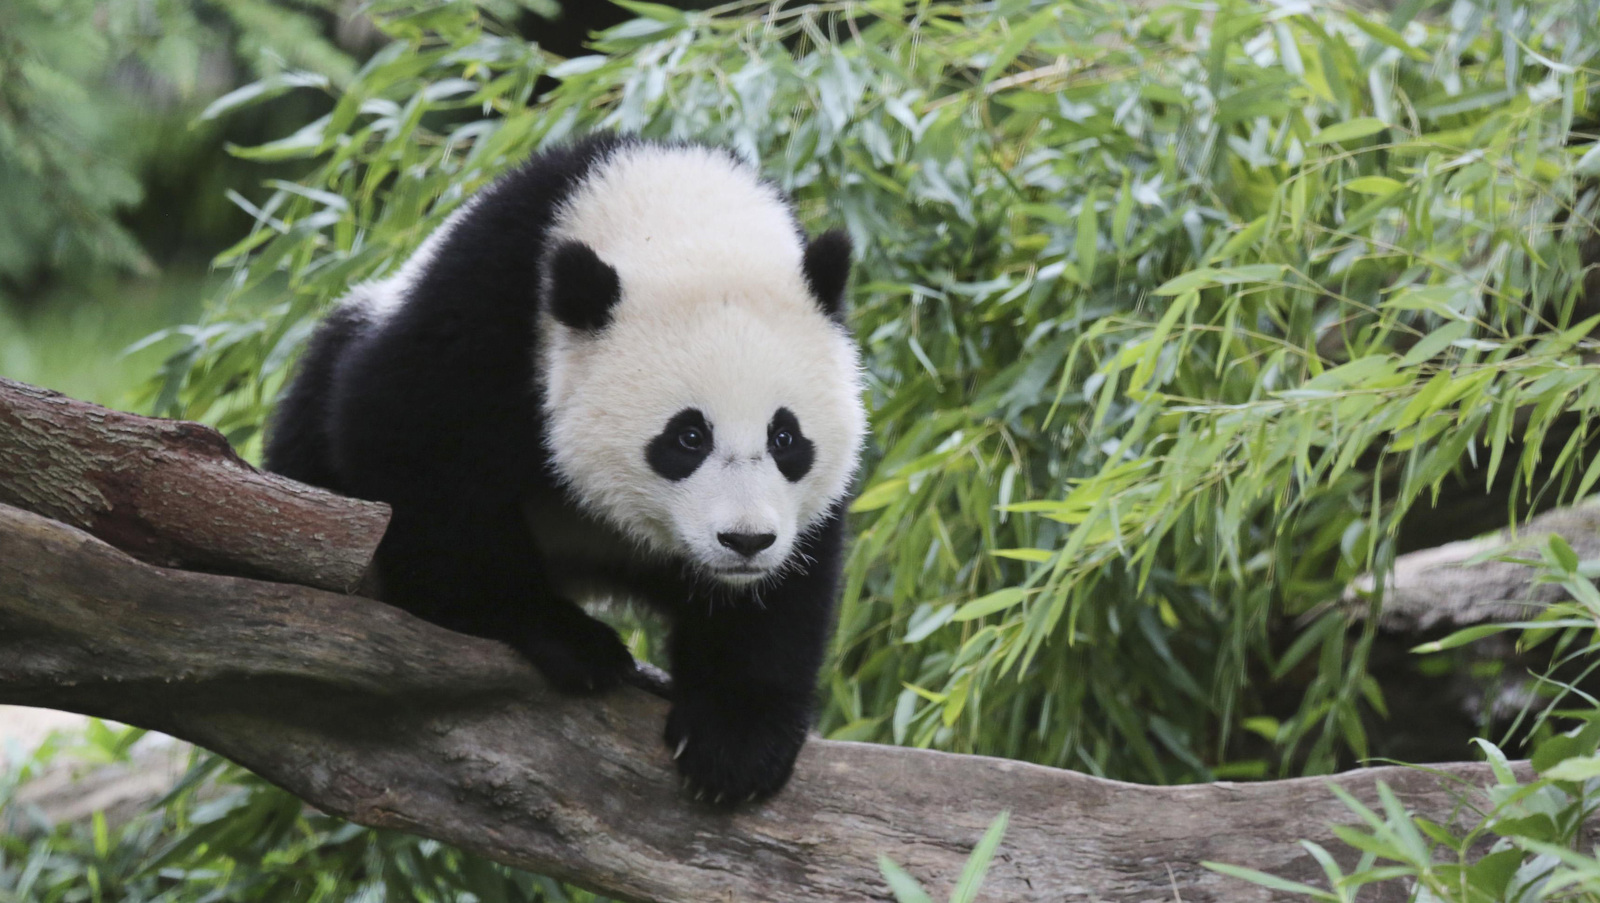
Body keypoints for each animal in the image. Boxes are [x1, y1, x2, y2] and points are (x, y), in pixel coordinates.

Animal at [265, 136, 864, 803]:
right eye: (687, 437)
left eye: (785, 438)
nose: (745, 541)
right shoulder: (488, 307)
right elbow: (412, 449)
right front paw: (566, 639)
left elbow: (786, 589)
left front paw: (735, 743)